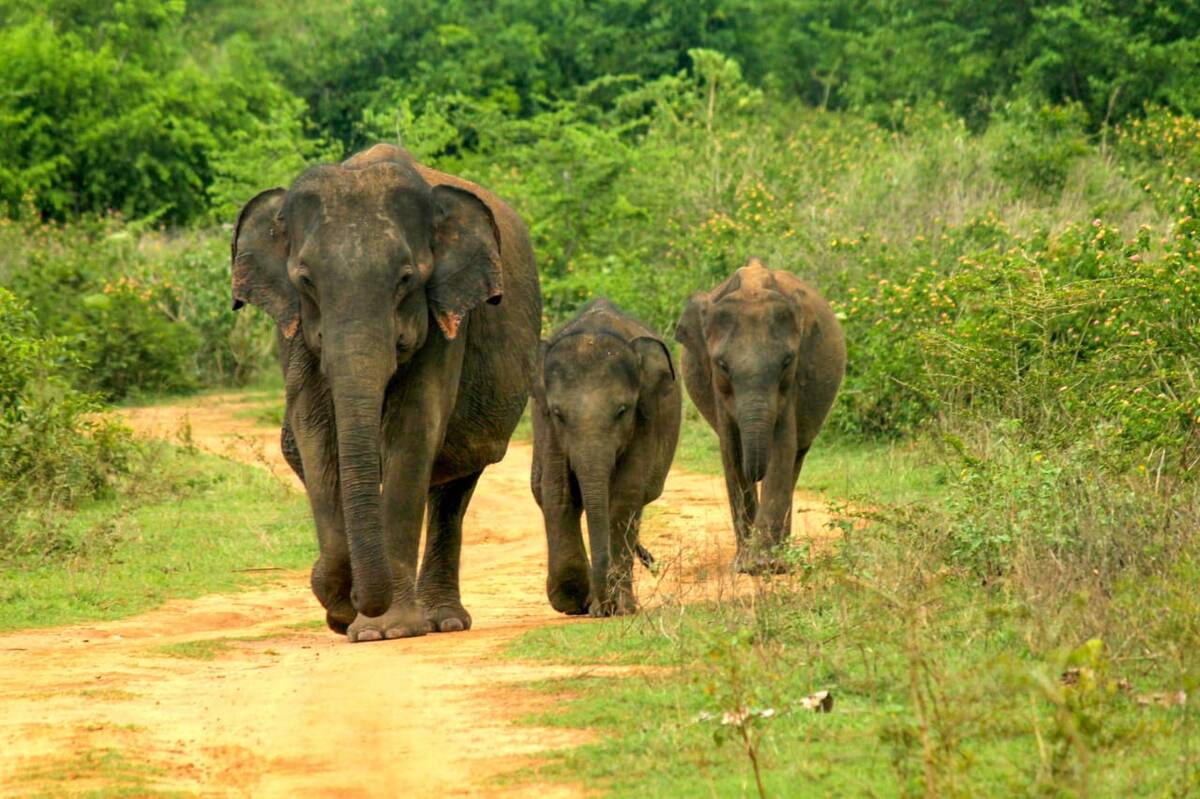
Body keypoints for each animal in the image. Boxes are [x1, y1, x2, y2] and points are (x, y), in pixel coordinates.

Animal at [231, 143, 541, 641]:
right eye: (305, 280)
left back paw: (443, 621)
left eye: (406, 279)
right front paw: (342, 606)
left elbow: (413, 426)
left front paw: (385, 629)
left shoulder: (444, 315)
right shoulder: (293, 325)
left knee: (455, 487)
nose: (352, 604)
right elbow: (313, 428)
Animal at [531, 299, 681, 616]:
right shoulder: (545, 423)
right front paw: (573, 598)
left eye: (622, 411)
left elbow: (624, 496)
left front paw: (618, 608)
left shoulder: (646, 416)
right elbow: (558, 491)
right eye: (559, 414)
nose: (605, 606)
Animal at [675, 257, 845, 574]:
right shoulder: (717, 388)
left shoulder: (793, 383)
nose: (756, 471)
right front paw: (746, 565)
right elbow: (730, 451)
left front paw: (765, 565)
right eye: (722, 365)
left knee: (796, 457)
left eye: (787, 361)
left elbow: (783, 447)